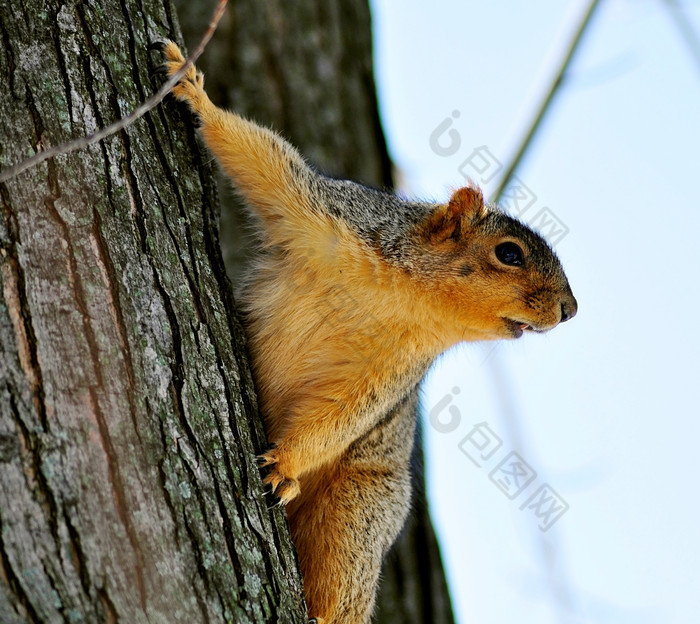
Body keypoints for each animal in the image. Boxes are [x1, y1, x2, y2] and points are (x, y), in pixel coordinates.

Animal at [156, 40, 576, 624]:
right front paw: (193, 90)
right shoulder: (327, 217)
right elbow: (264, 160)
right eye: (509, 254)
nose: (570, 309)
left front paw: (285, 462)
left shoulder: (391, 368)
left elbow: (346, 412)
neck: (410, 297)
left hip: (359, 510)